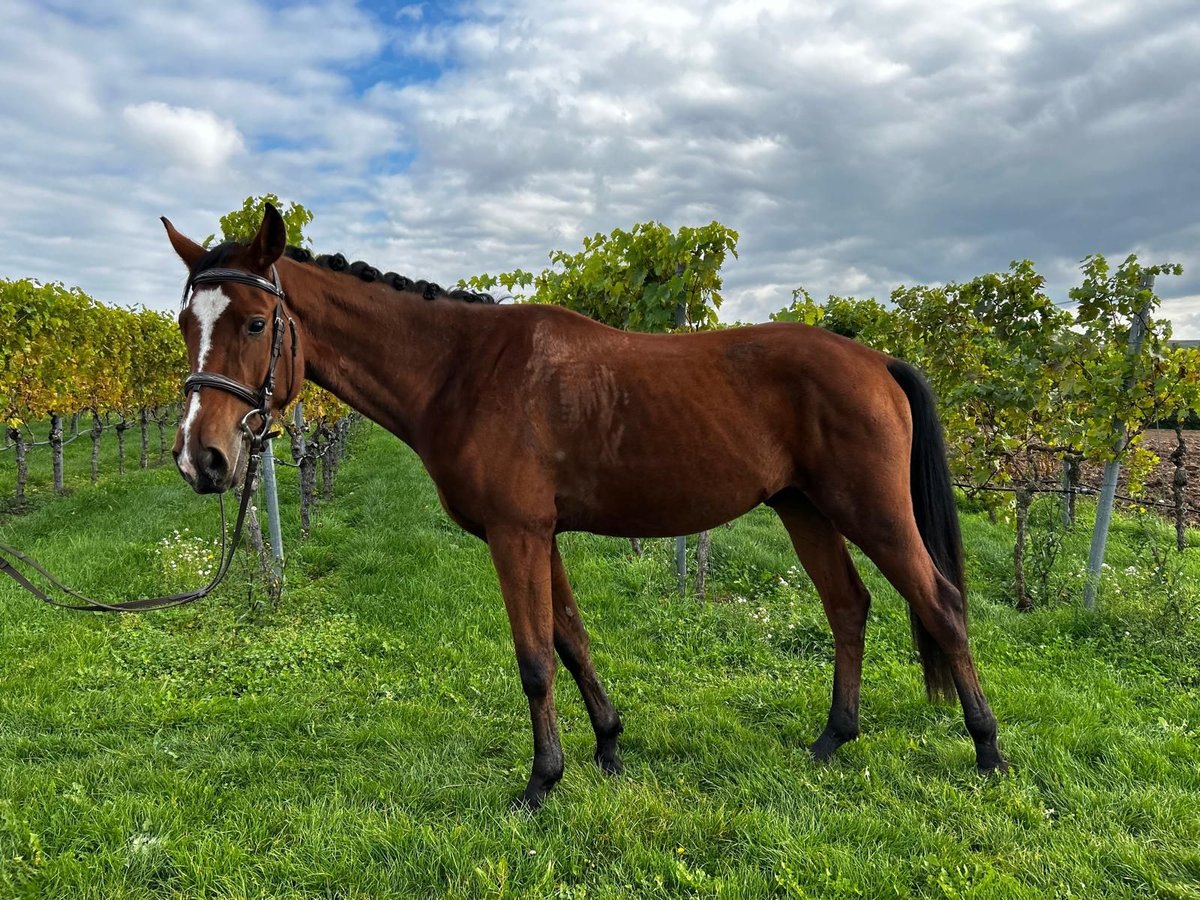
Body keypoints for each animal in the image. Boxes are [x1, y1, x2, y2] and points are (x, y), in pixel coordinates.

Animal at [163, 204, 1005, 810]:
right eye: (183, 325)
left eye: (257, 322)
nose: (202, 459)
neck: (463, 370)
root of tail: (878, 361)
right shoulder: (543, 535)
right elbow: (572, 641)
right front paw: (607, 747)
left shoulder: (515, 535)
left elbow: (535, 659)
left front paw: (541, 782)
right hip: (805, 509)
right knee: (849, 607)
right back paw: (833, 739)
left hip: (873, 513)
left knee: (941, 604)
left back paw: (988, 750)